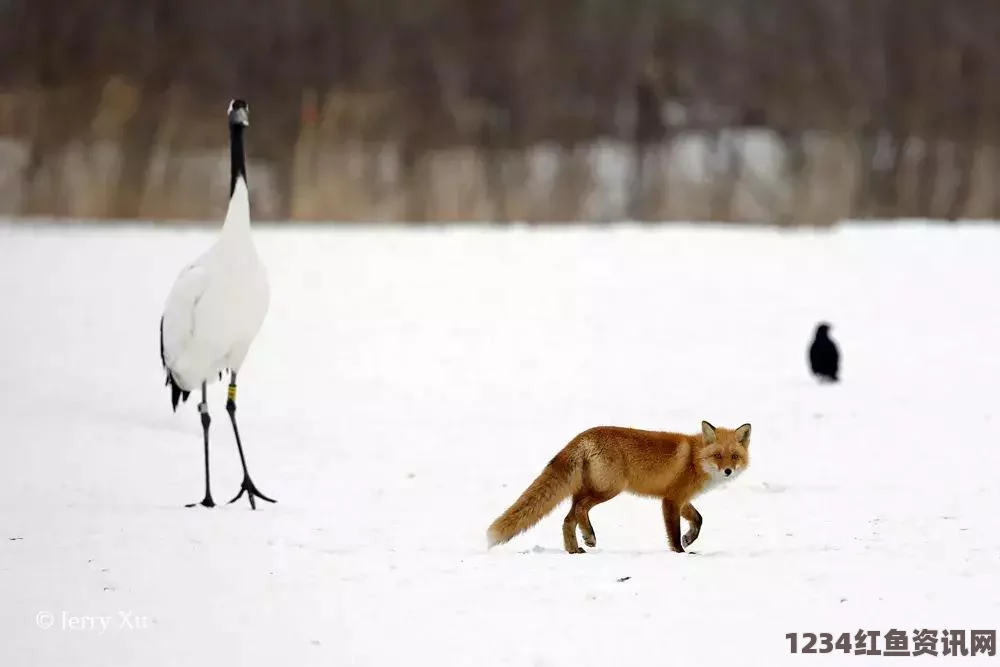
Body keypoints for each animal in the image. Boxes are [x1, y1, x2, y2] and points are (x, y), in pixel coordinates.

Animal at [484, 422, 752, 552]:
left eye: (734, 456)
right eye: (717, 455)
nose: (728, 471)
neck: (695, 459)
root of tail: (582, 436)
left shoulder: (680, 499)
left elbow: (698, 519)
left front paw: (689, 538)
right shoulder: (671, 500)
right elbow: (673, 534)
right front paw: (680, 552)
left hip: (586, 490)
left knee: (568, 519)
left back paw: (575, 549)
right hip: (609, 489)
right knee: (580, 510)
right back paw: (589, 536)